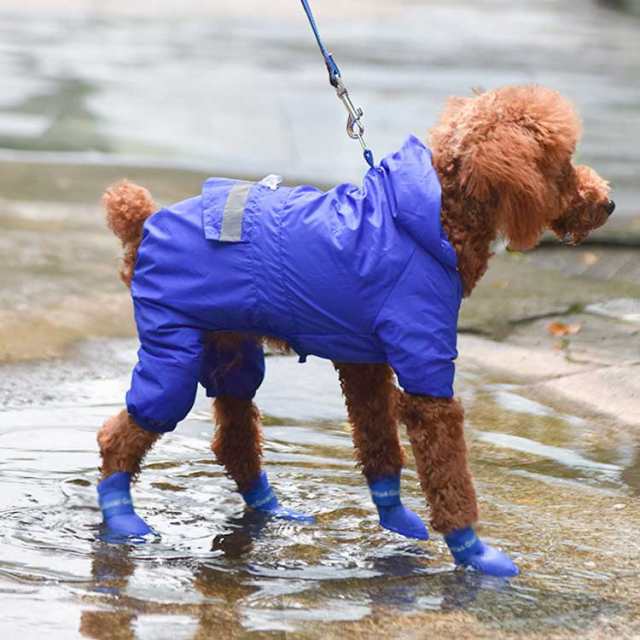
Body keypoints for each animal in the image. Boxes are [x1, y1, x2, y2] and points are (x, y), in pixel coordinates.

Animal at [95, 82, 608, 576]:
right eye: (560, 164)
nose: (608, 203)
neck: (434, 217)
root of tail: (142, 226)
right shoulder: (425, 366)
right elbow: (446, 472)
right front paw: (473, 552)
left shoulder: (365, 359)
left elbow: (379, 441)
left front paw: (396, 518)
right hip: (174, 346)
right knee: (122, 434)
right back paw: (122, 518)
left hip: (229, 346)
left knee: (235, 437)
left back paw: (274, 511)